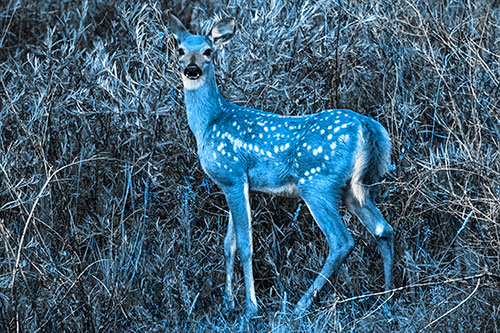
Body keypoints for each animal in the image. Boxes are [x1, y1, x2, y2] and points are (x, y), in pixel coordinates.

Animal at [170, 14, 396, 316]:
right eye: (180, 50)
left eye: (208, 51)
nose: (192, 70)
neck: (208, 123)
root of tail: (367, 126)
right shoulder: (233, 182)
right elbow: (228, 244)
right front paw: (228, 302)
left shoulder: (232, 174)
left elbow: (245, 244)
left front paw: (250, 307)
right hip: (356, 187)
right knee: (383, 229)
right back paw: (387, 298)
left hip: (317, 182)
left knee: (342, 241)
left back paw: (300, 306)